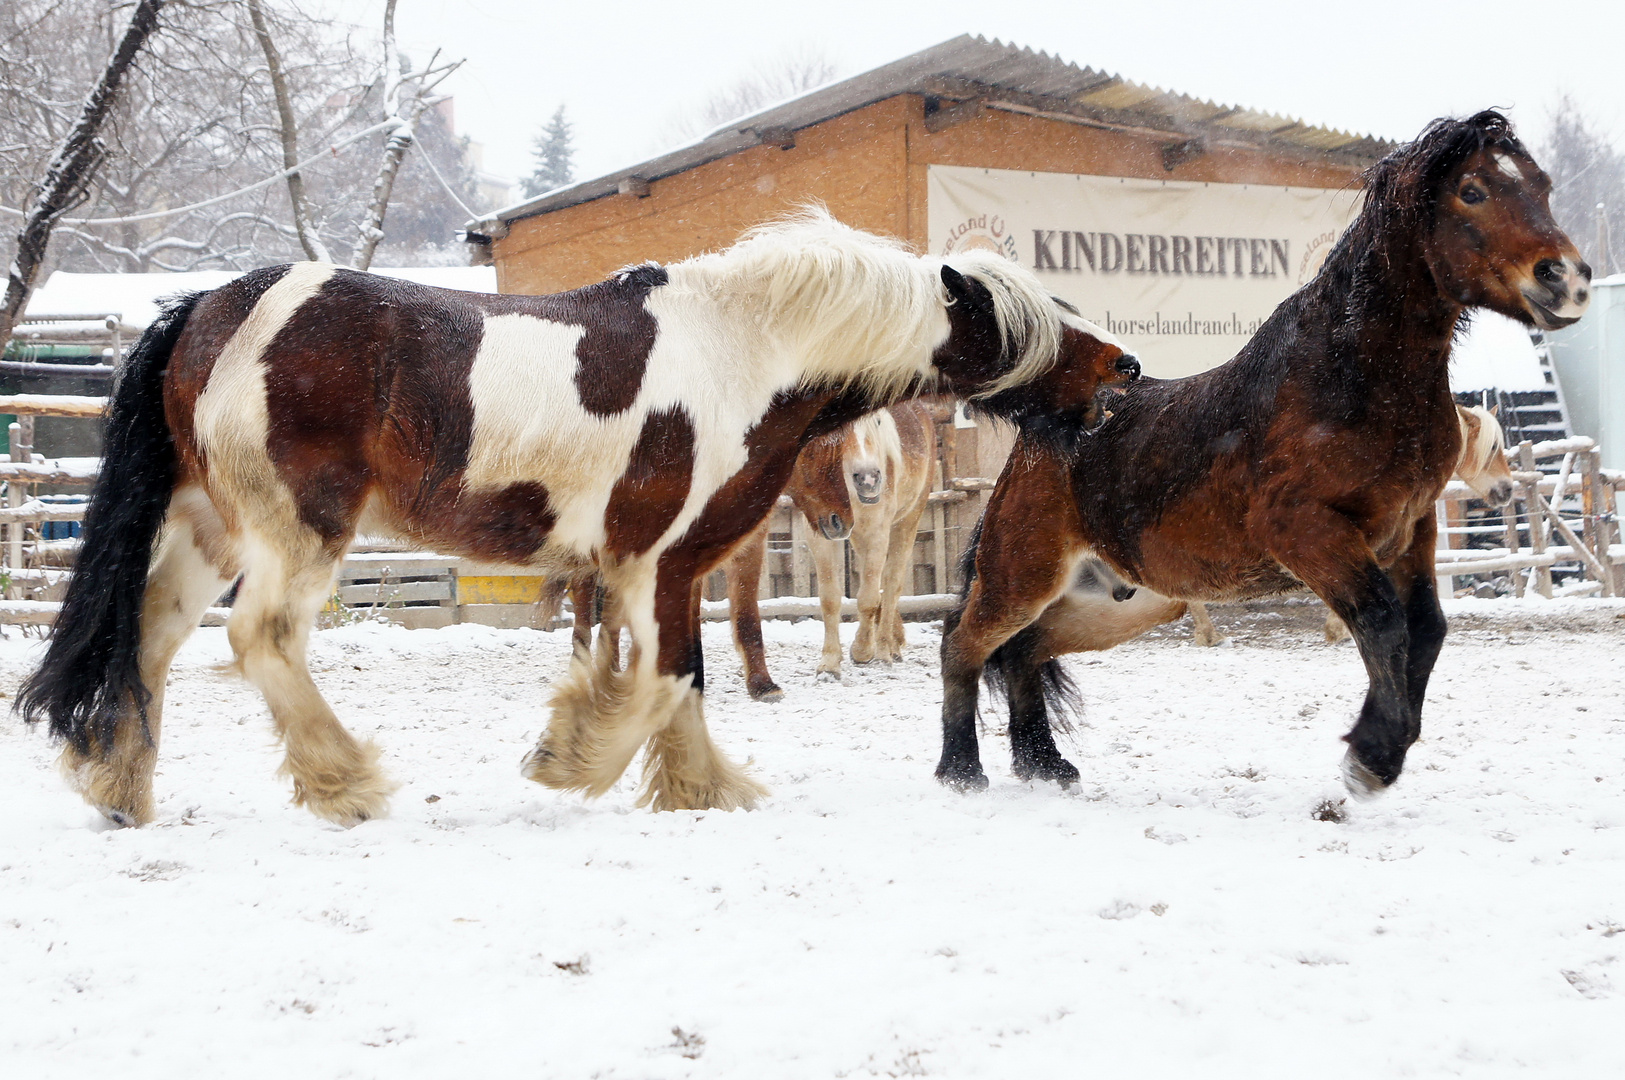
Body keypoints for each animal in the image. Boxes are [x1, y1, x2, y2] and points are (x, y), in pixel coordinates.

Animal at [728, 397, 936, 698]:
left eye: (878, 421)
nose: (869, 479)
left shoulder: (878, 532)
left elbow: (868, 598)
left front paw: (863, 651)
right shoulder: (825, 532)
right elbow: (830, 599)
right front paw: (829, 665)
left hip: (908, 520)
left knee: (891, 584)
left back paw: (885, 649)